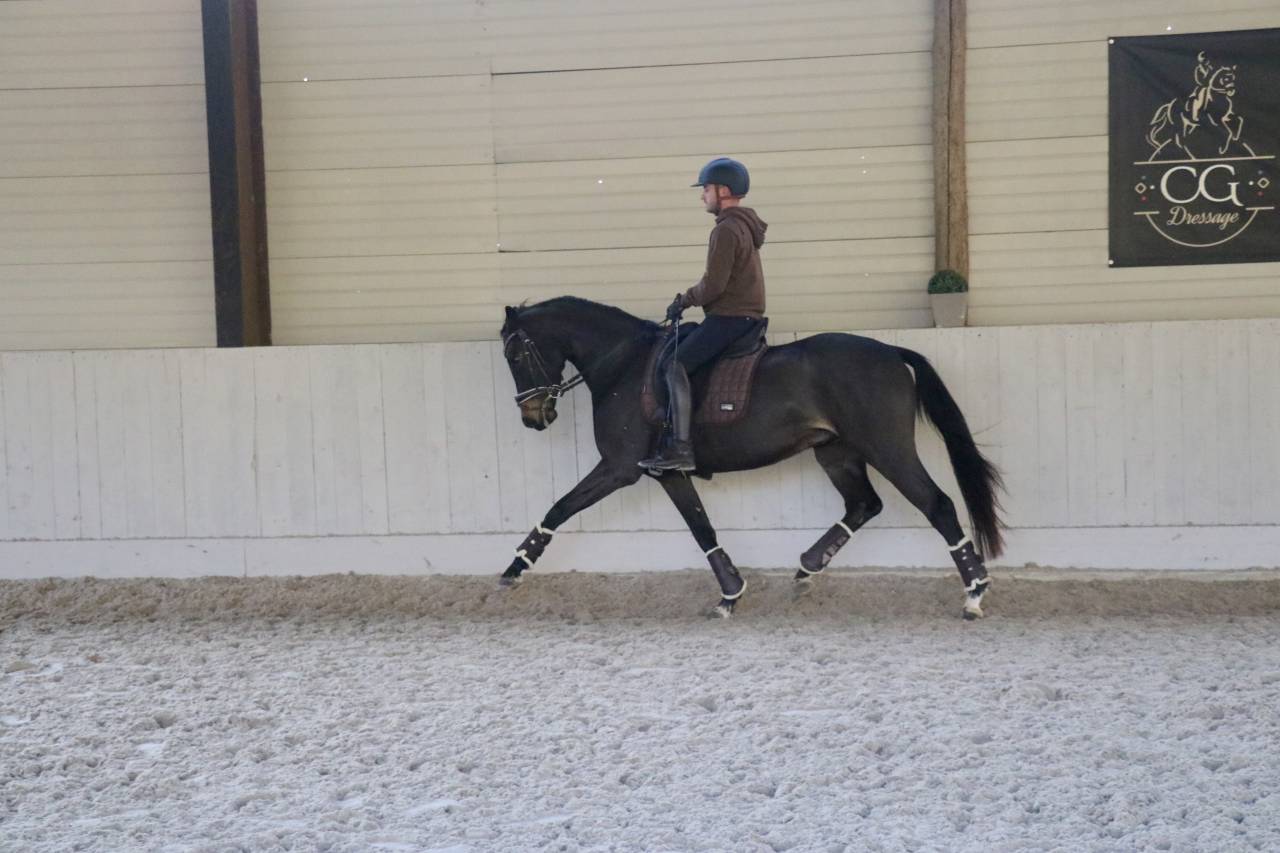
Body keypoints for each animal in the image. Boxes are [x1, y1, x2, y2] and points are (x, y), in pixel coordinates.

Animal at [498, 296, 1005, 619]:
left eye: (515, 355)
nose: (533, 417)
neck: (623, 365)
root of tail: (891, 352)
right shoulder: (666, 473)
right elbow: (701, 527)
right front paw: (730, 594)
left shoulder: (620, 468)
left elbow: (560, 507)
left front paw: (514, 569)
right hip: (836, 452)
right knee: (864, 504)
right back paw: (806, 568)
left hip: (887, 447)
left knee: (937, 505)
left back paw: (975, 594)